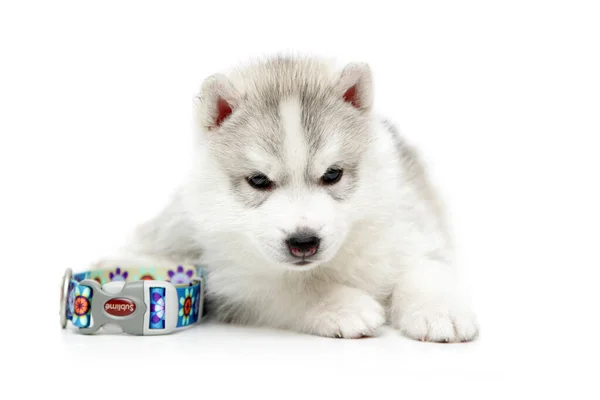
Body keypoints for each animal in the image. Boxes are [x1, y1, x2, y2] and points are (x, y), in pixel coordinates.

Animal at [102, 55, 478, 340]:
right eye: (258, 180)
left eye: (332, 174)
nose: (303, 242)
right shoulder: (238, 283)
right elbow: (294, 289)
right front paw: (343, 306)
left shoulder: (411, 226)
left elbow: (425, 269)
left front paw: (439, 310)